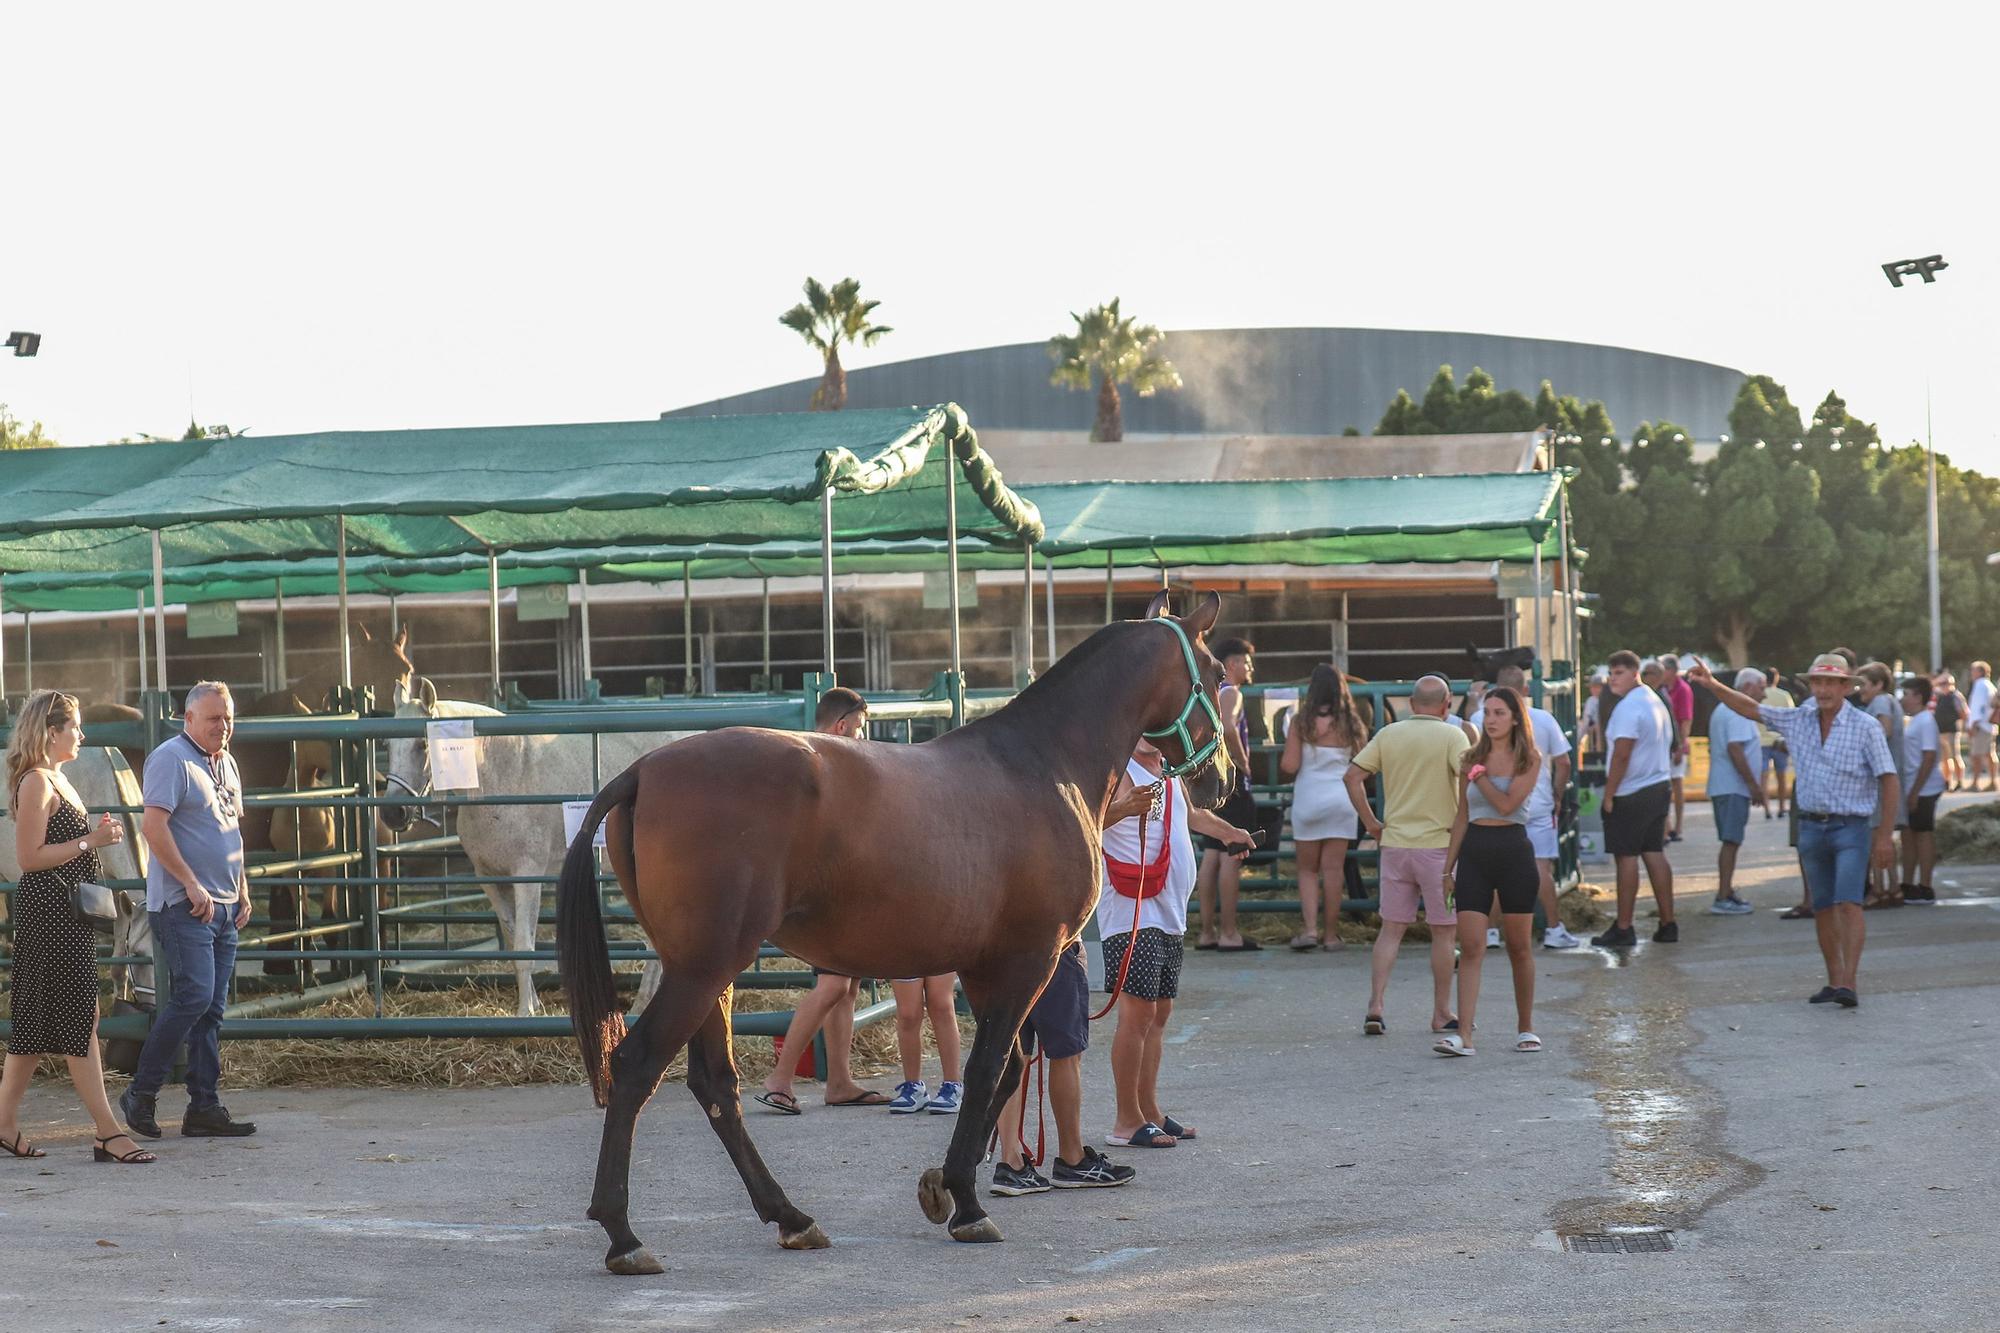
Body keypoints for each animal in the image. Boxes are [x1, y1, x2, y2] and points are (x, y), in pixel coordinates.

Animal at [382, 680, 696, 1012]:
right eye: (387, 746)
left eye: (422, 744)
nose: (392, 813)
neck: (503, 774)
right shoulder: (490, 878)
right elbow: (512, 941)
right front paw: (533, 1002)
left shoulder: (527, 875)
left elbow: (525, 945)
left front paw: (526, 1011)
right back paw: (642, 1005)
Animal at [552, 588, 1232, 1264]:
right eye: (1218, 674)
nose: (1222, 779)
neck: (1043, 765)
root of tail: (644, 770)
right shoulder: (1030, 961)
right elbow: (988, 1070)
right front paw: (968, 1202)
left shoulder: (986, 969)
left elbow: (1007, 1070)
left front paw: (945, 1185)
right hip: (704, 967)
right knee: (636, 1065)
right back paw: (623, 1235)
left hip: (706, 970)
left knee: (715, 1084)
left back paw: (790, 1217)